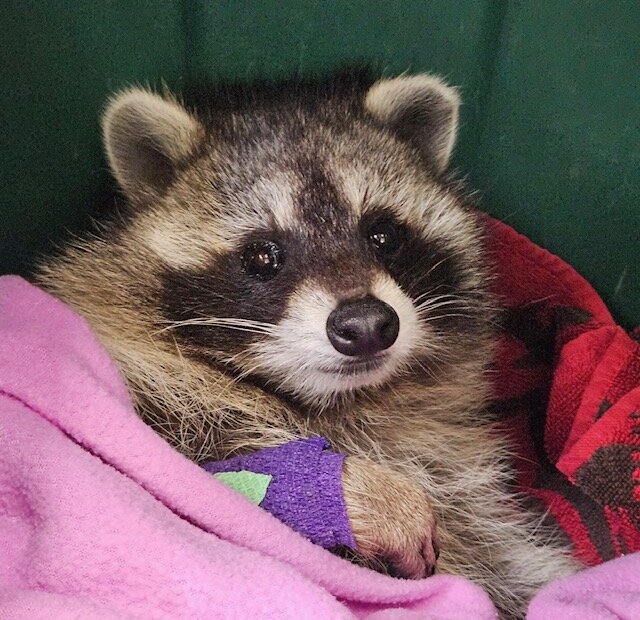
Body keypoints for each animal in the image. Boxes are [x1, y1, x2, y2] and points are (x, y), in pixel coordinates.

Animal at [36, 72, 579, 618]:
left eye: (383, 234)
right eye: (262, 254)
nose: (366, 325)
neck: (337, 401)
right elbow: (199, 470)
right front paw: (360, 492)